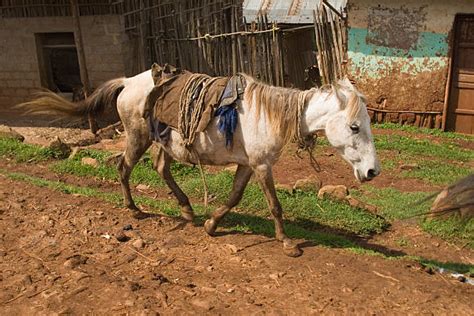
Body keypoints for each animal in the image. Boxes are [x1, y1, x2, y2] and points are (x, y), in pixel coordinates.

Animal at [19, 66, 382, 256]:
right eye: (354, 126)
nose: (372, 171)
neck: (269, 114)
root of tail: (128, 82)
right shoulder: (262, 165)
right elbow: (275, 205)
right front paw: (288, 242)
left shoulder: (248, 165)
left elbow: (234, 198)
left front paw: (211, 225)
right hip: (137, 138)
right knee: (123, 167)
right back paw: (134, 209)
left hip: (163, 143)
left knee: (160, 169)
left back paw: (187, 210)